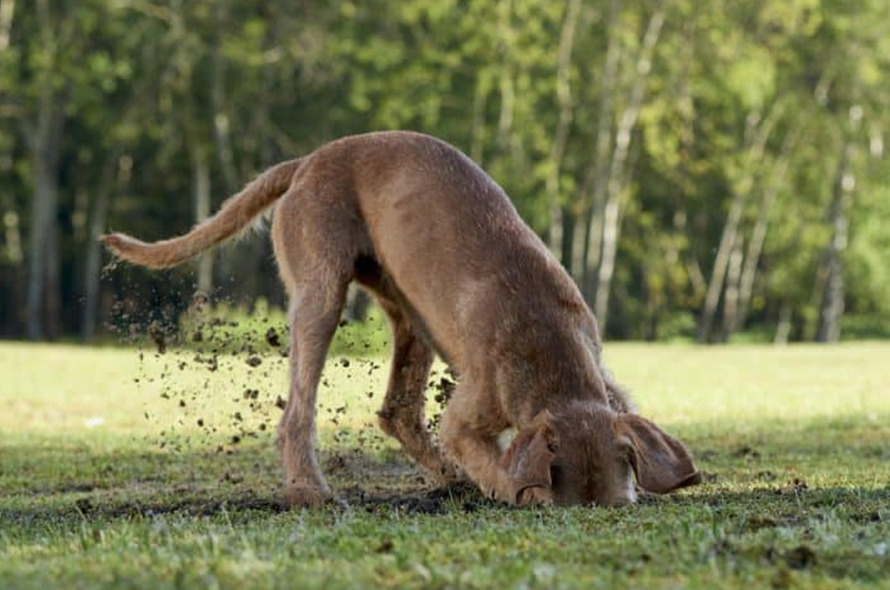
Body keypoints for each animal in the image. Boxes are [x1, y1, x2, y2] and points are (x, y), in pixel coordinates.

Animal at [102, 131, 700, 508]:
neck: (552, 355)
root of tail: (308, 160)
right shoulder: (468, 416)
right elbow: (498, 466)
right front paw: (514, 490)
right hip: (320, 293)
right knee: (298, 411)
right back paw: (308, 490)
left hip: (410, 316)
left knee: (398, 411)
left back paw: (447, 478)